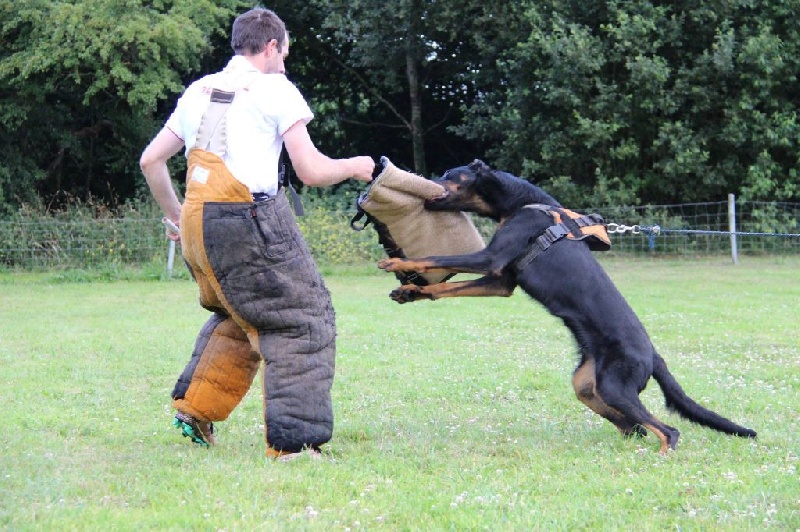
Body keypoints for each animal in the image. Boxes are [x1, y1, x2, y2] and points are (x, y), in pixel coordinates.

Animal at [380, 159, 756, 454]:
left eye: (449, 173)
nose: (423, 179)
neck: (521, 203)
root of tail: (654, 355)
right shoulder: (502, 282)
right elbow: (446, 286)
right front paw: (411, 292)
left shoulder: (491, 258)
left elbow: (435, 257)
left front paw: (397, 263)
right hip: (587, 384)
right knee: (635, 427)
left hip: (614, 385)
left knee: (668, 430)